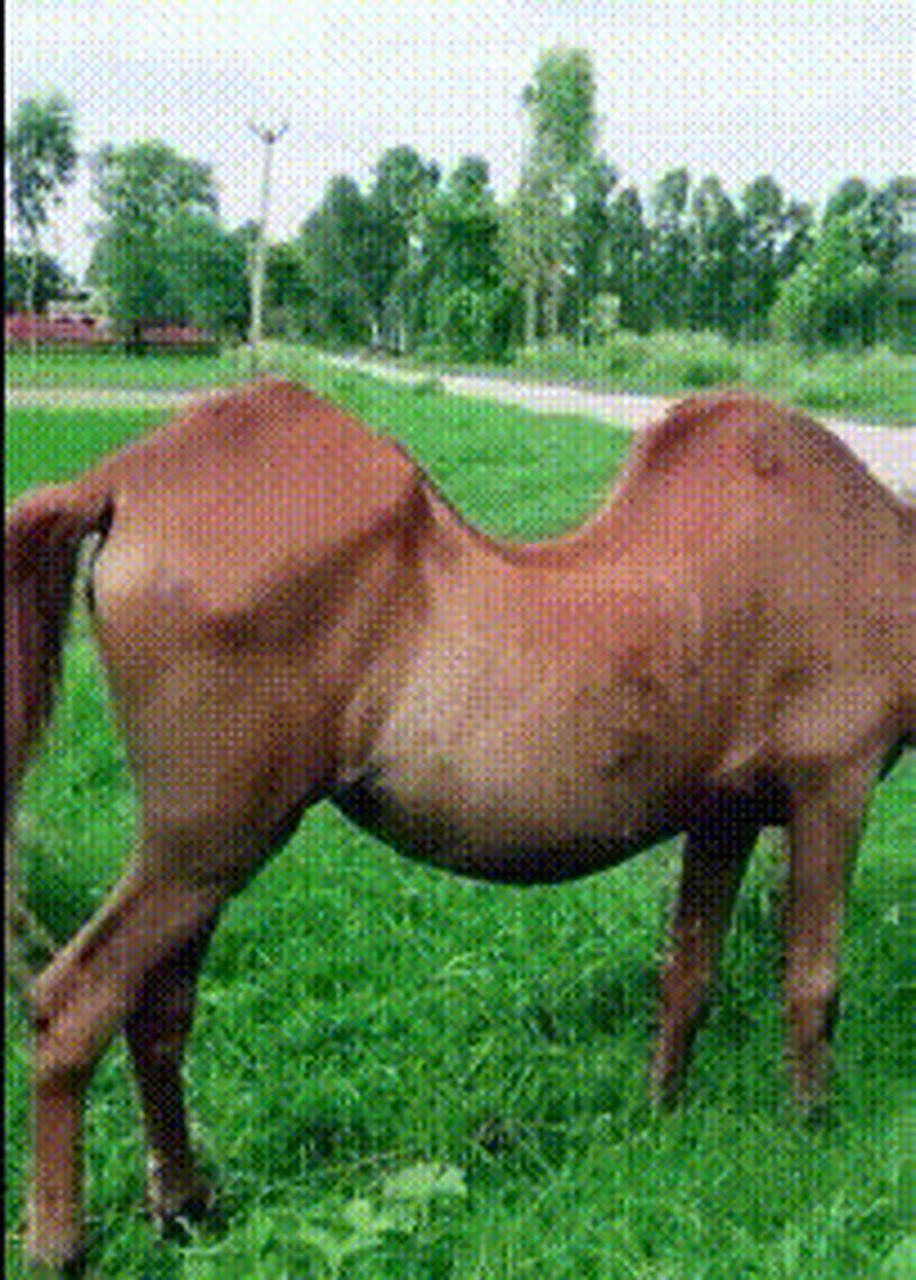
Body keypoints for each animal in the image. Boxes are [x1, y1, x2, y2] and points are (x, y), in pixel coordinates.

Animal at [6, 379, 913, 1270]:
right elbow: (811, 981)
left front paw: (664, 1115)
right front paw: (809, 1129)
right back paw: (59, 1244)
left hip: (198, 864)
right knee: (72, 1004)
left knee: (157, 1012)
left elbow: (687, 975)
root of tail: (120, 482)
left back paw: (185, 1207)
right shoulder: (834, 787)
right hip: (208, 848)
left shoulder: (724, 816)